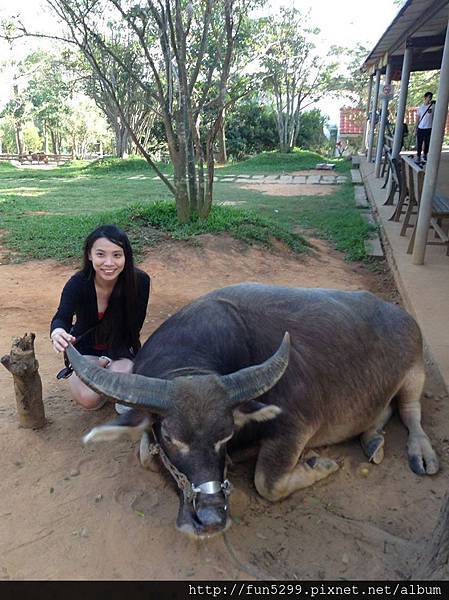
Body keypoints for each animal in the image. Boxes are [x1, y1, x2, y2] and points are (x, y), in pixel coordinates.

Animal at [66, 282, 438, 540]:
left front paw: (319, 464)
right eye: (171, 438)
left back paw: (420, 452)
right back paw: (373, 439)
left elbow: (267, 482)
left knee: (411, 411)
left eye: (226, 435)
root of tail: (402, 316)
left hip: (415, 372)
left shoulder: (295, 427)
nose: (212, 519)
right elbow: (144, 453)